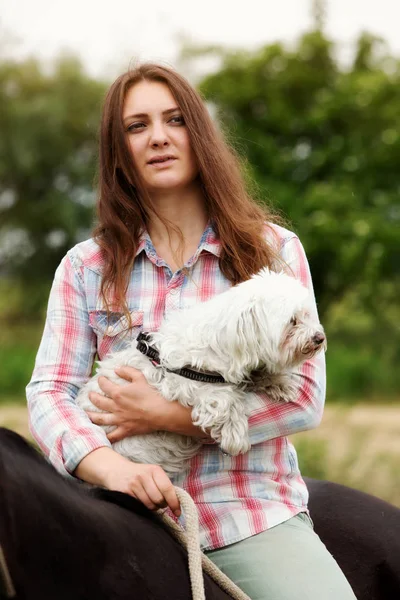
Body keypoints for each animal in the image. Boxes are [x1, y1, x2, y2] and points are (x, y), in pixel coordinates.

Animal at [76, 268, 326, 474]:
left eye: (307, 314)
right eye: (292, 321)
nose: (319, 338)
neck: (221, 341)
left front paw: (277, 382)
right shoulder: (181, 380)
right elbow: (224, 397)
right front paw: (235, 434)